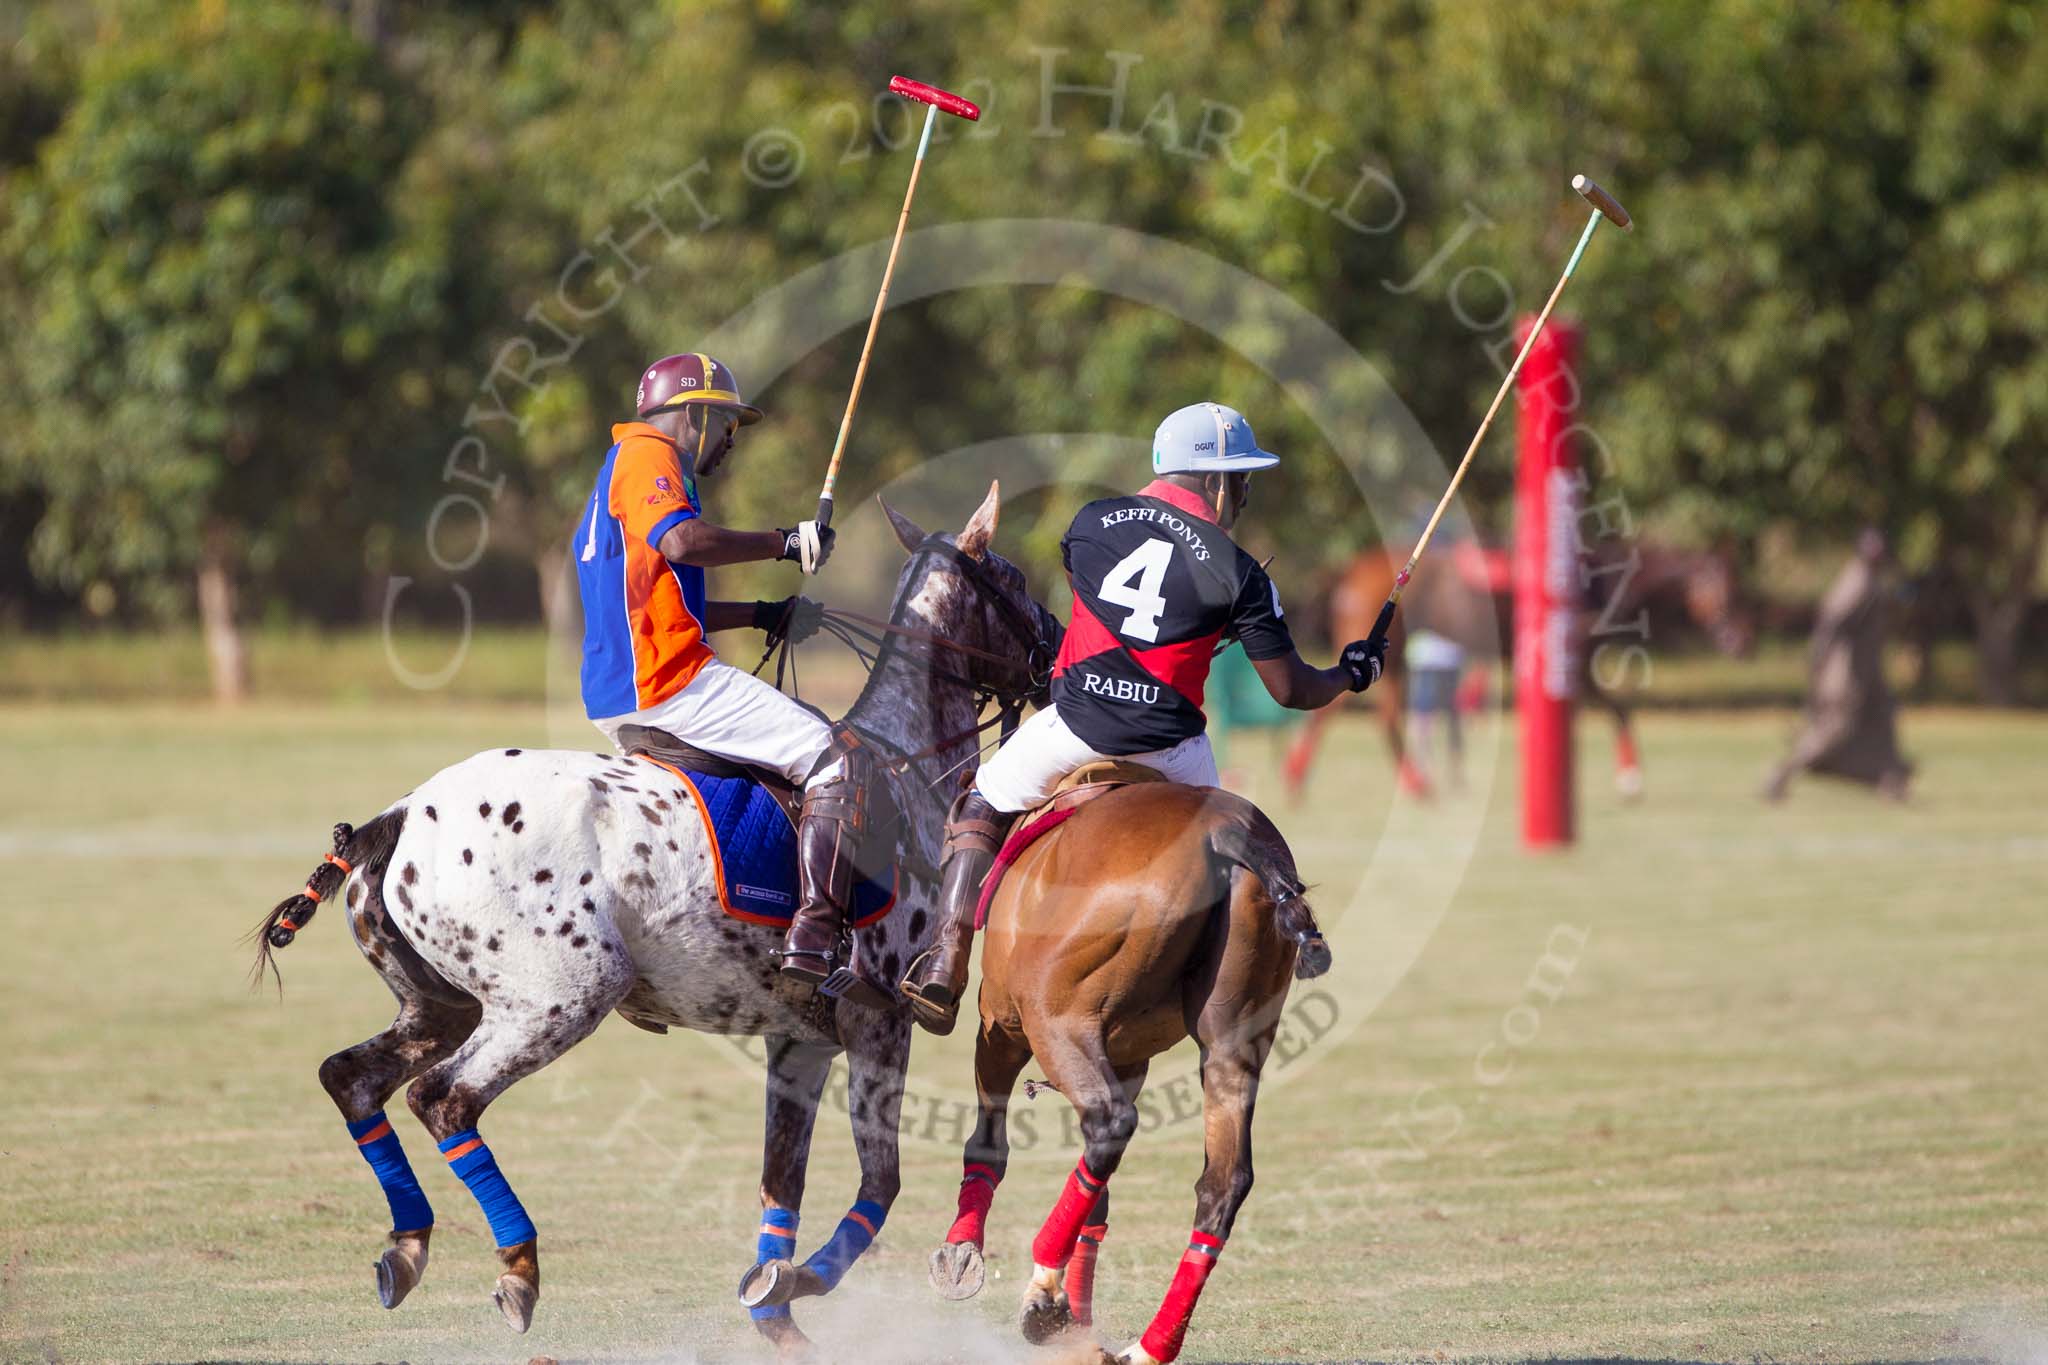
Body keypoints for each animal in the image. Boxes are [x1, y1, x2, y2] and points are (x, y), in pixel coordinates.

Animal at [249, 482, 1064, 1358]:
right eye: (1013, 579)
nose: (1059, 651)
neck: (908, 763)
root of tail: (399, 815)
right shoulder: (878, 1021)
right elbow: (882, 1182)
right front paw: (799, 1285)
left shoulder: (801, 1039)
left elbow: (781, 1182)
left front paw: (776, 1311)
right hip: (564, 993)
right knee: (444, 1097)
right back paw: (517, 1266)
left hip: (442, 1003)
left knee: (352, 1078)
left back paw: (406, 1247)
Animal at [929, 777, 1327, 1365]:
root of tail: (1226, 832)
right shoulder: (1128, 1058)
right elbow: (1098, 1197)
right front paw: (1076, 1316)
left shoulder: (1000, 1025)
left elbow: (988, 1142)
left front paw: (963, 1252)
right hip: (1231, 1043)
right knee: (1222, 1181)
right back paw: (1146, 1346)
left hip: (1056, 1023)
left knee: (1109, 1124)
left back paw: (1043, 1288)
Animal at [1286, 536, 1753, 802]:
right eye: (1723, 587)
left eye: (1737, 587)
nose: (1740, 642)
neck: (1597, 582)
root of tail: (1346, 570)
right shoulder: (1574, 662)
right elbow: (1618, 709)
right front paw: (1630, 778)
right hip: (1391, 647)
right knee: (1363, 713)